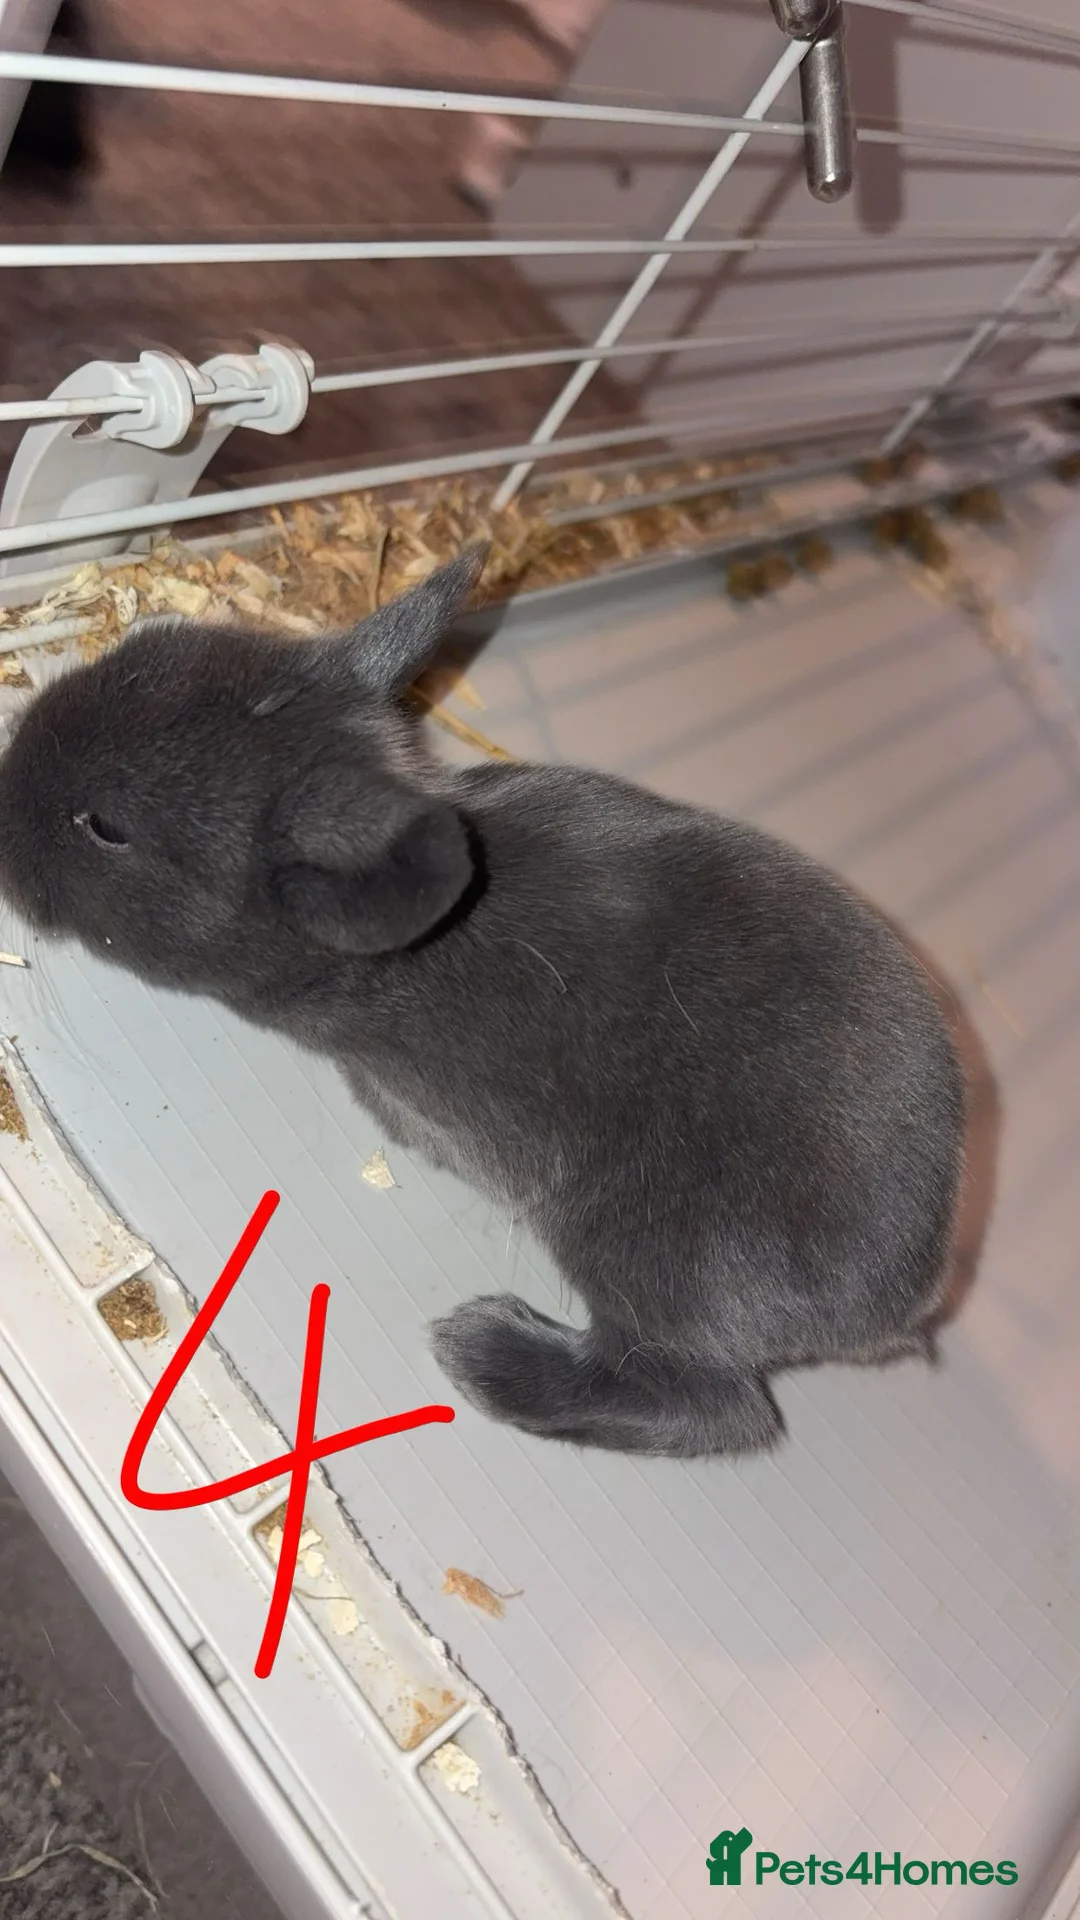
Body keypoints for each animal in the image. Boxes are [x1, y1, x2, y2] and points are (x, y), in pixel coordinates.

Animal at [0, 547, 966, 1459]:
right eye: (142, 645)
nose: (1, 795)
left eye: (107, 828)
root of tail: (903, 1305)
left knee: (718, 1411)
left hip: (646, 1263)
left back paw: (488, 1351)